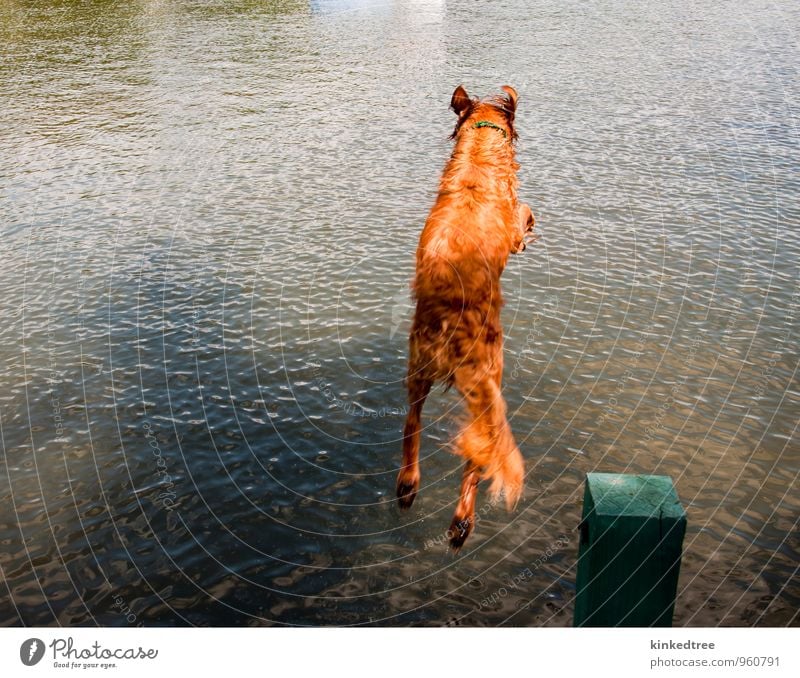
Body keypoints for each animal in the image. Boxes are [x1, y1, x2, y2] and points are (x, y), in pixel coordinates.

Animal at [396, 85, 536, 552]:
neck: (478, 150)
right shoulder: (512, 227)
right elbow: (524, 213)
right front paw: (531, 224)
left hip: (417, 369)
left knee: (412, 424)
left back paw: (407, 485)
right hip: (491, 376)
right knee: (479, 455)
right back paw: (462, 522)